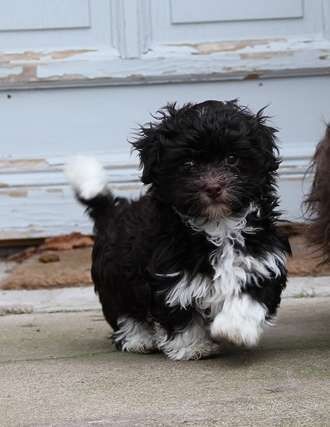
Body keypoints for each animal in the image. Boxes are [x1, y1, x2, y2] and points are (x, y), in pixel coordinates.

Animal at [66, 100, 288, 362]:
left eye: (232, 158)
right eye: (188, 164)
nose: (213, 187)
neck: (217, 225)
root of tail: (113, 213)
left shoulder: (261, 262)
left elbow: (252, 296)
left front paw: (235, 327)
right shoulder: (172, 278)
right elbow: (181, 314)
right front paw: (193, 347)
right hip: (115, 280)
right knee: (125, 312)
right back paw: (138, 339)